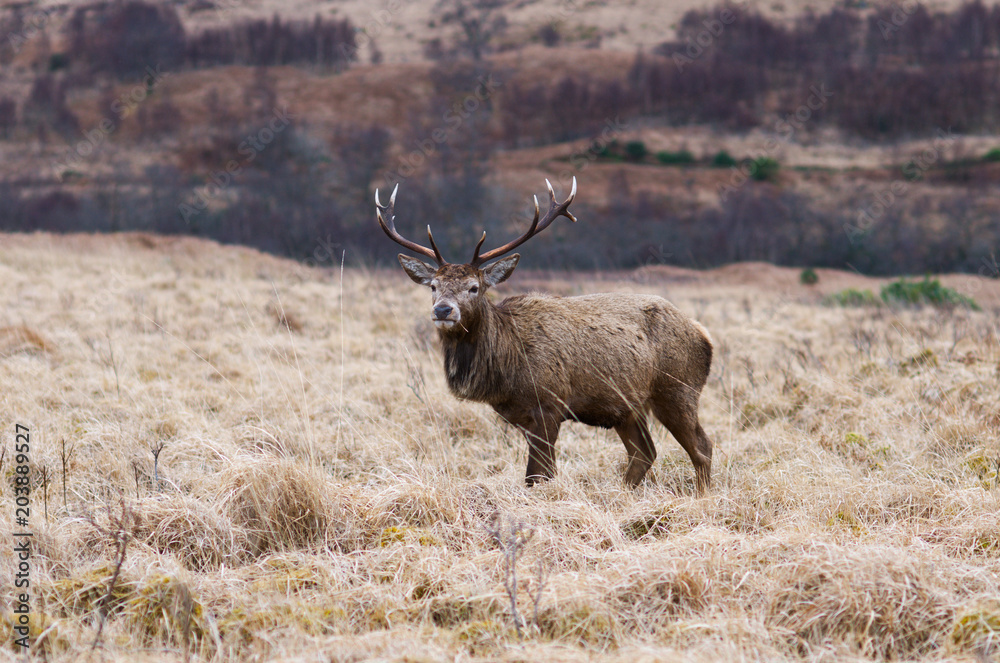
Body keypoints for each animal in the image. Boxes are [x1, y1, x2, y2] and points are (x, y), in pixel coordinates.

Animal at [378, 176, 716, 492]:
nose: (443, 310)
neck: (506, 367)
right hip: (627, 406)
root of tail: (702, 333)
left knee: (702, 447)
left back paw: (702, 497)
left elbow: (538, 475)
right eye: (433, 286)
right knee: (644, 453)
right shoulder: (524, 417)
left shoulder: (550, 404)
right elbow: (539, 474)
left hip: (678, 388)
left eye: (474, 287)